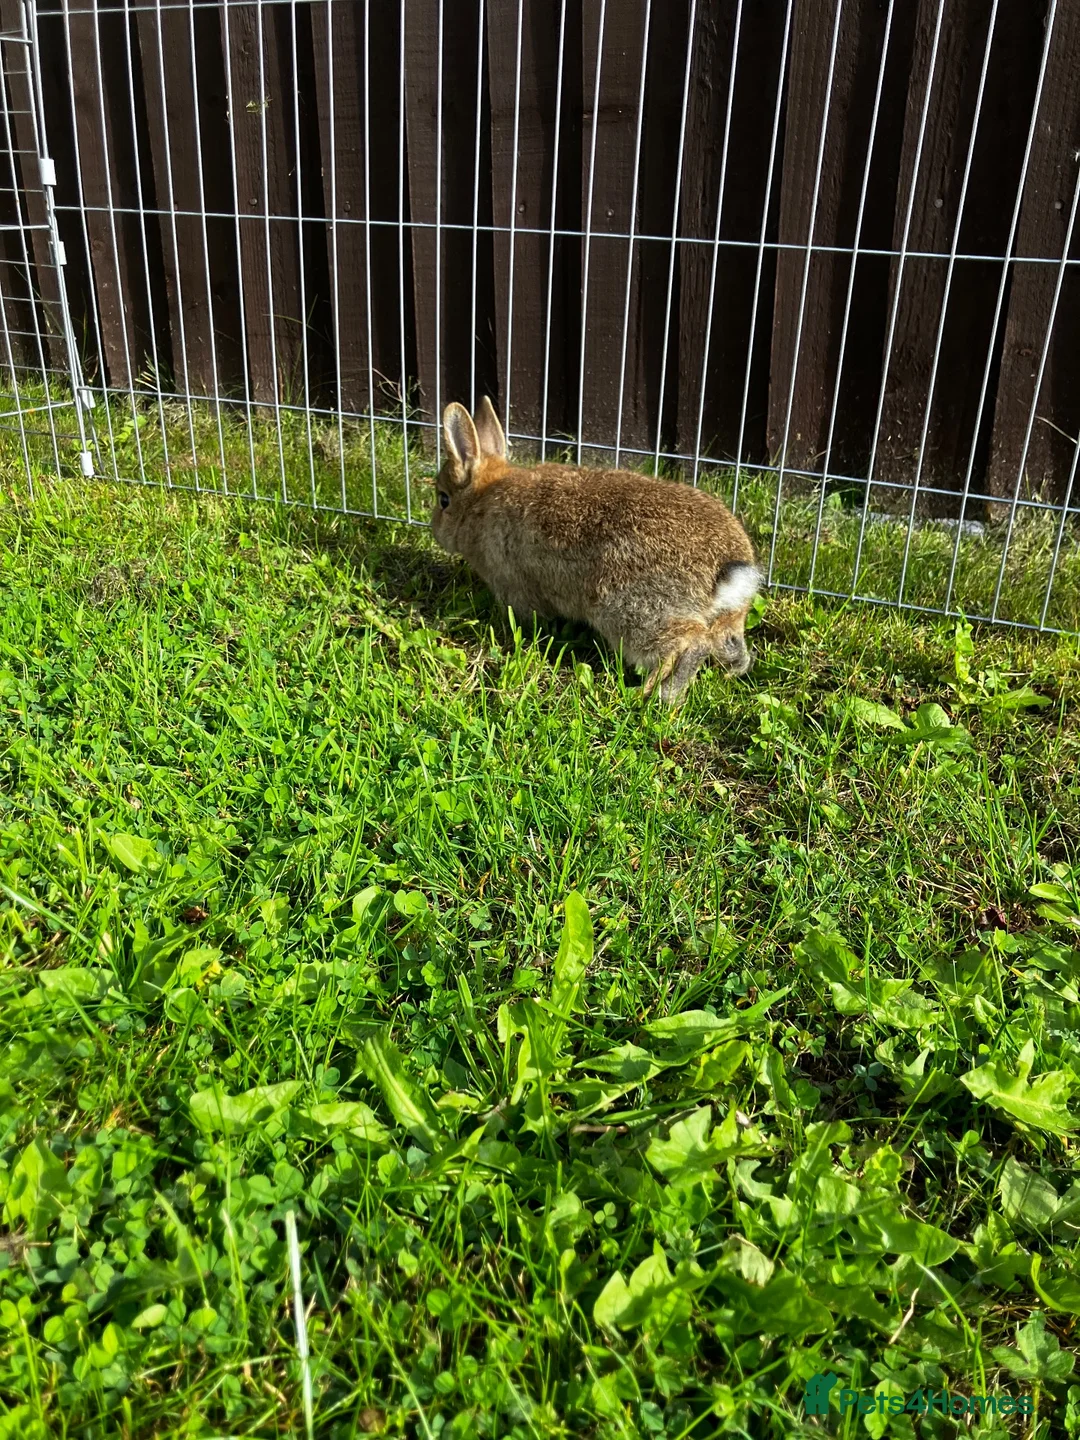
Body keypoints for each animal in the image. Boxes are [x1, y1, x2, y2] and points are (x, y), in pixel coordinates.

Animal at [430, 397, 761, 704]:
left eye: (443, 500)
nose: (435, 529)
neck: (480, 501)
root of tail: (727, 569)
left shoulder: (514, 586)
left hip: (628, 609)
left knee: (690, 642)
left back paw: (656, 694)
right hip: (724, 620)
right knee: (729, 646)